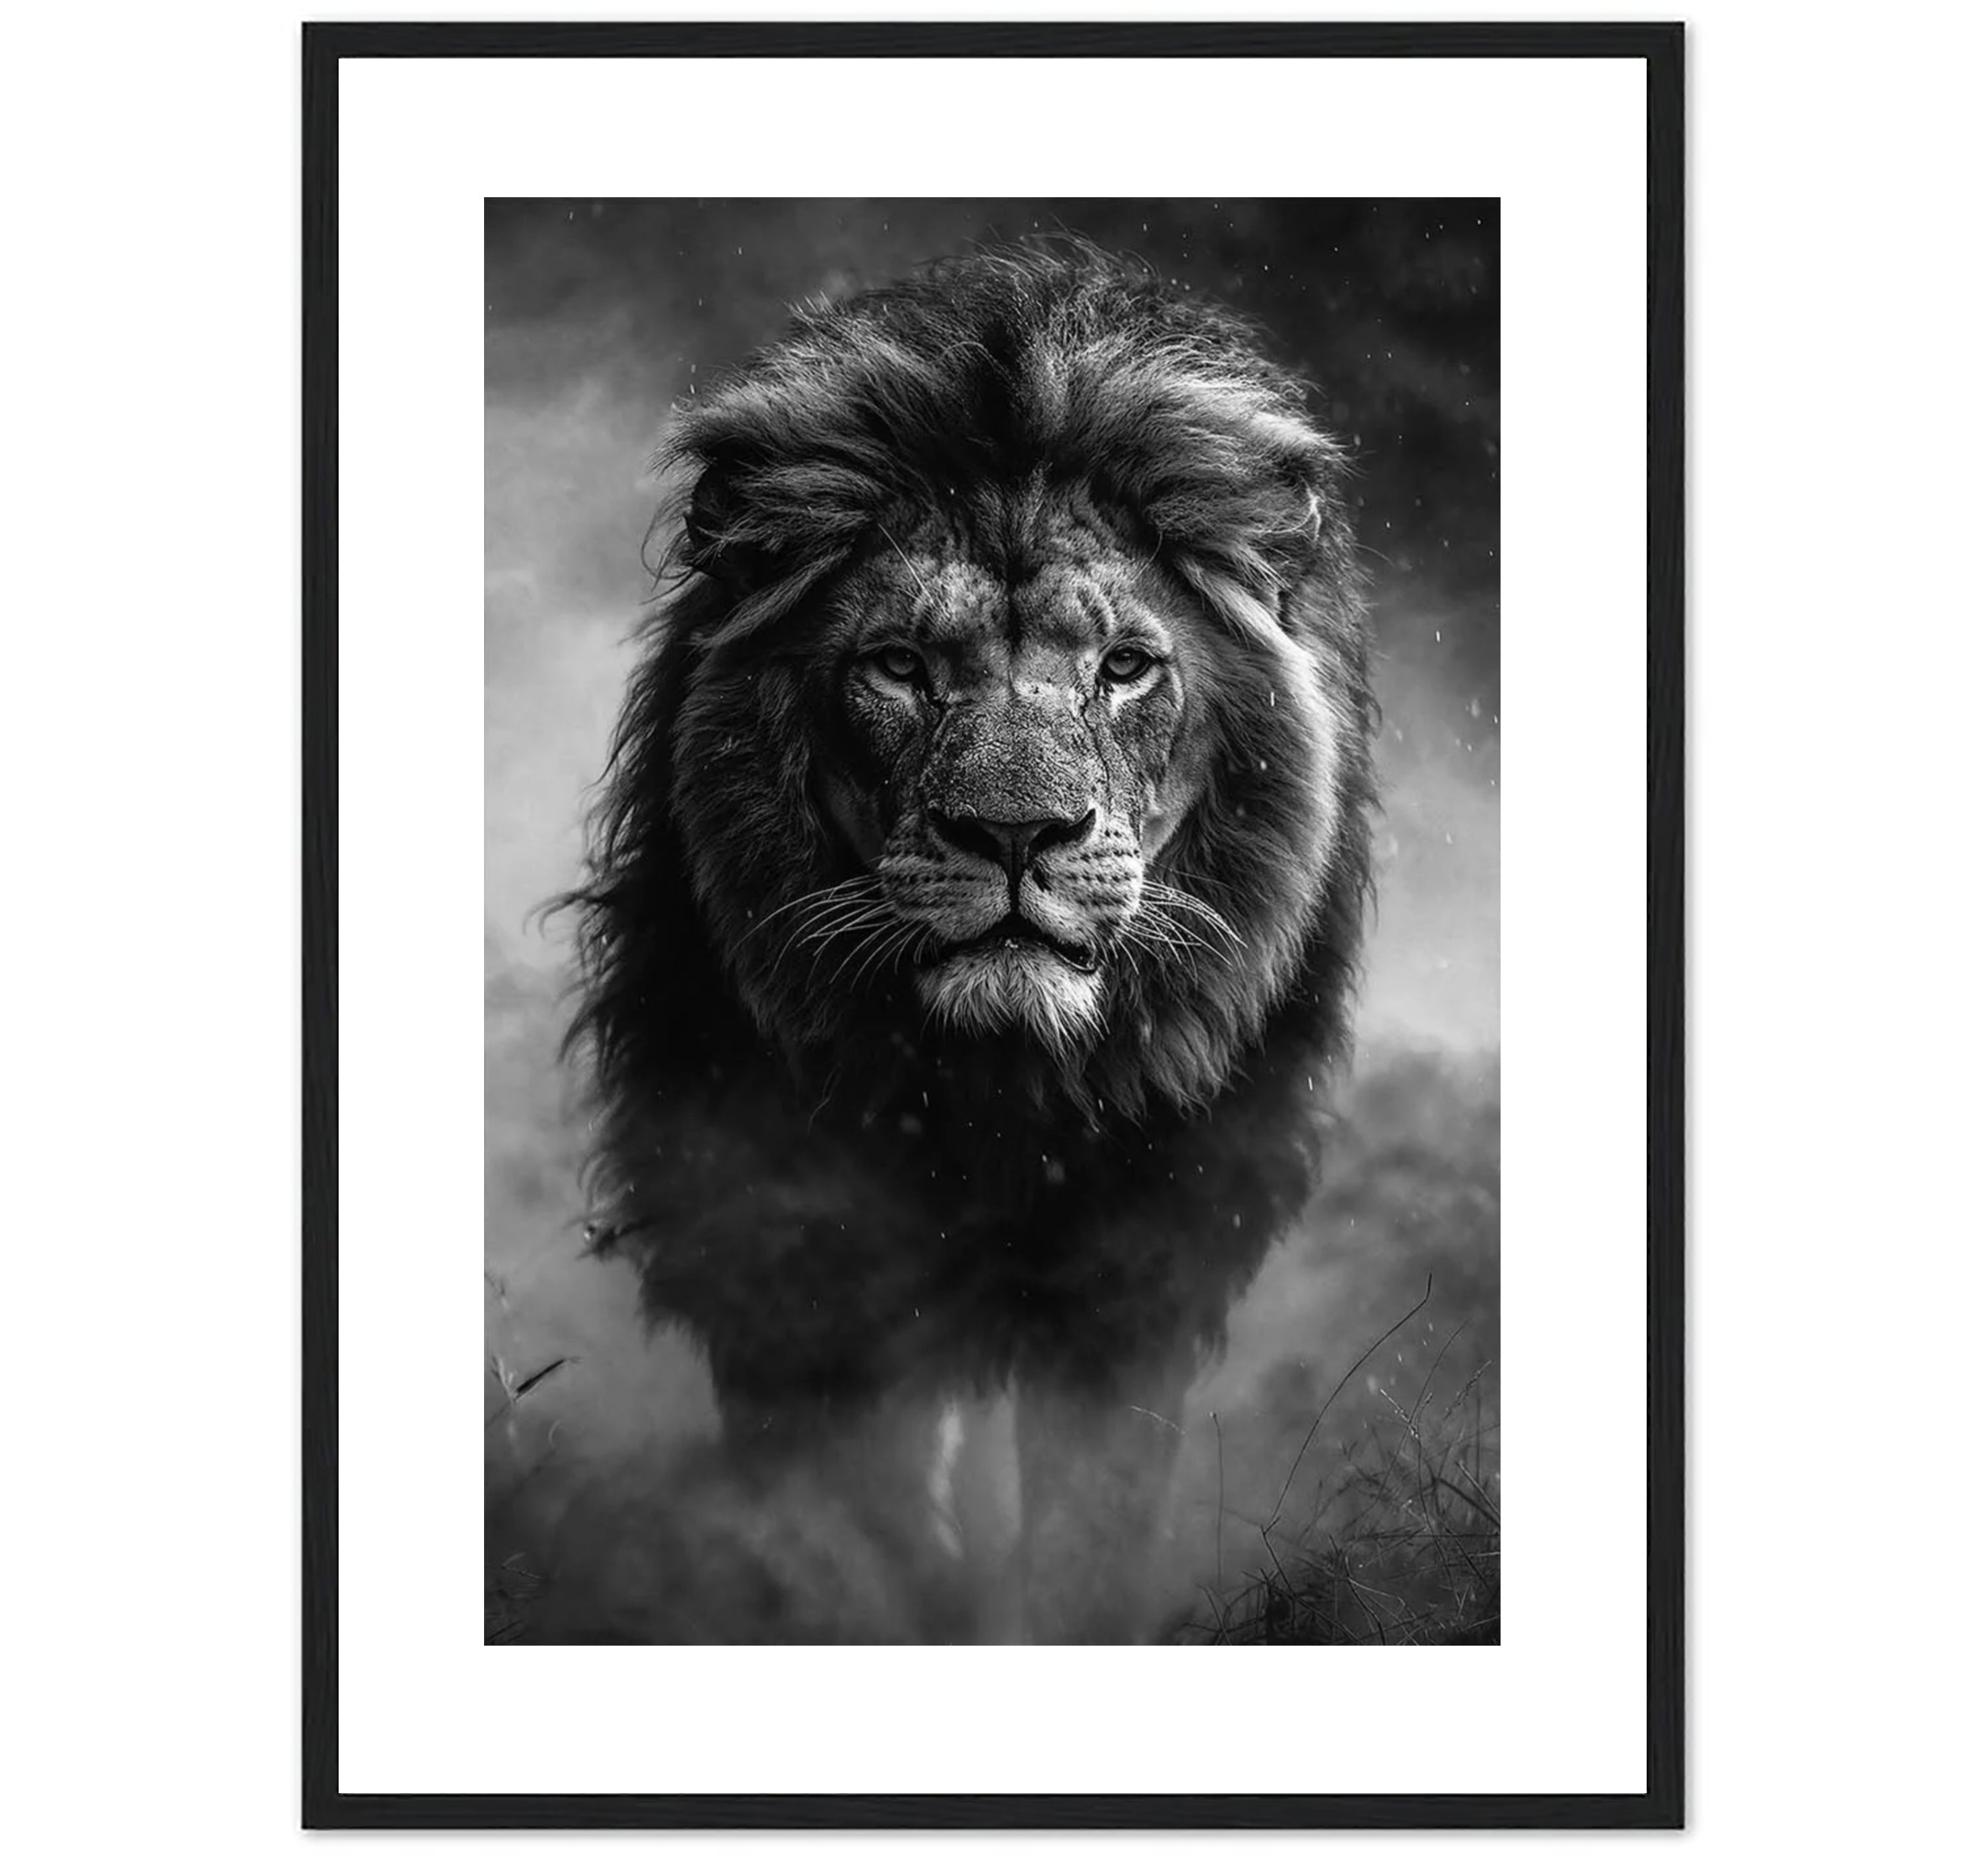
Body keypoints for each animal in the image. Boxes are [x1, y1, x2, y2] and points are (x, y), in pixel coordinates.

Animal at [558, 246, 1376, 1642]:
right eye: (895, 665)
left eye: (1124, 667)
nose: (1014, 834)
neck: (995, 1097)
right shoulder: (789, 1260)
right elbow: (854, 1527)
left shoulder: (1133, 1278)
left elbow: (1089, 1530)